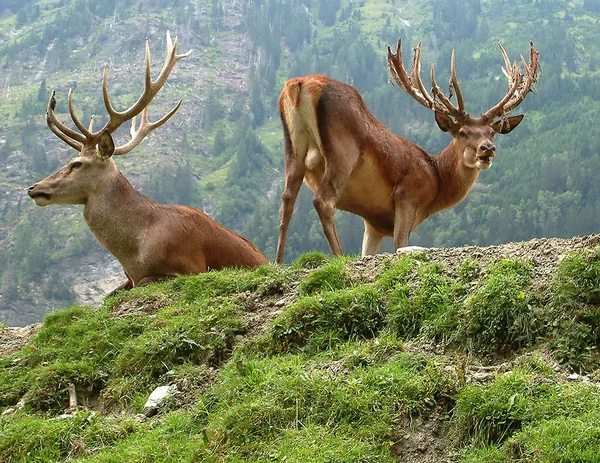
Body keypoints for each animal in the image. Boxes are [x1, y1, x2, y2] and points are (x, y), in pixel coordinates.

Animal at [276, 40, 540, 262]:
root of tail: (298, 85)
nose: (488, 149)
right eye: (463, 132)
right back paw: (339, 257)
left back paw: (278, 263)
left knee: (287, 199)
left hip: (293, 148)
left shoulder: (373, 224)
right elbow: (399, 247)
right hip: (342, 151)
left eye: (492, 133)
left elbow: (368, 252)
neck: (436, 180)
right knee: (322, 200)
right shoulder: (408, 196)